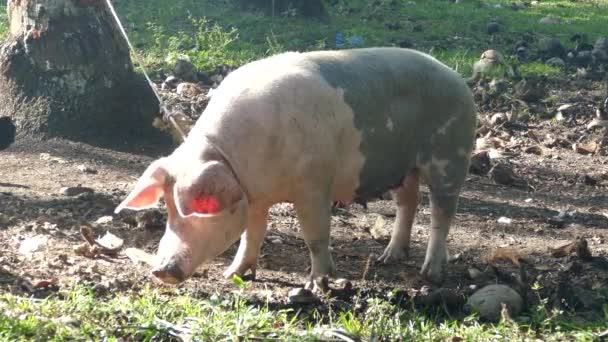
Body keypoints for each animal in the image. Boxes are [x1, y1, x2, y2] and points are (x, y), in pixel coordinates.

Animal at [113, 46, 476, 288]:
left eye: (199, 209)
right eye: (168, 210)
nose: (160, 270)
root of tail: (458, 79)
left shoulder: (313, 186)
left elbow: (315, 235)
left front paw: (318, 284)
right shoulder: (254, 197)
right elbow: (252, 235)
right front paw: (233, 275)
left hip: (450, 156)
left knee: (442, 214)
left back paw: (430, 274)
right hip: (404, 168)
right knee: (408, 203)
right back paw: (388, 257)